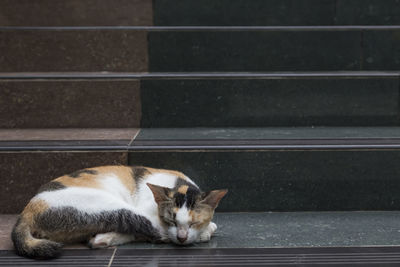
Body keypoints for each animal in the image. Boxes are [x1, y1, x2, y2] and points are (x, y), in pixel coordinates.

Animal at [10, 165, 227, 260]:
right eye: (171, 220)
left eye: (193, 222)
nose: (182, 238)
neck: (178, 183)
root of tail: (27, 212)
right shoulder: (150, 213)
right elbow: (211, 226)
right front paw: (204, 232)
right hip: (106, 204)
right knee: (145, 227)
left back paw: (101, 239)